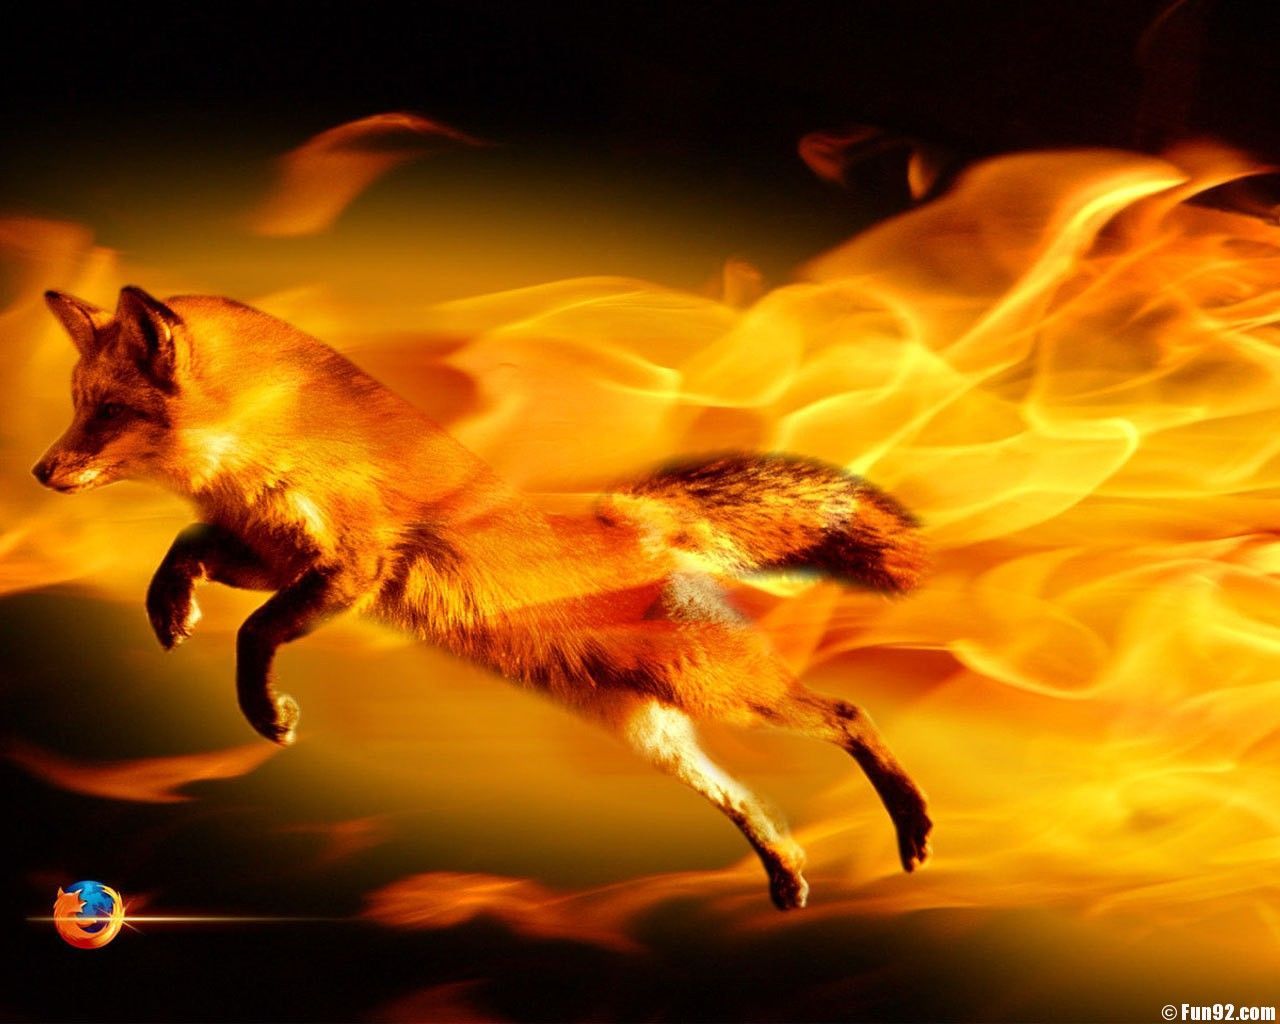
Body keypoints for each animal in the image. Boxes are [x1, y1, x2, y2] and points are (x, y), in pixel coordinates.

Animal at [32, 285, 932, 909]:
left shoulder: (353, 565)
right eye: (77, 405)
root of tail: (635, 517)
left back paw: (913, 824)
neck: (269, 442)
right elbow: (185, 551)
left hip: (718, 688)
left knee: (847, 713)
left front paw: (264, 711)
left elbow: (256, 633)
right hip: (653, 732)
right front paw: (168, 609)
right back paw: (785, 873)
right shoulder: (267, 550)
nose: (40, 472)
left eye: (107, 411)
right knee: (749, 803)